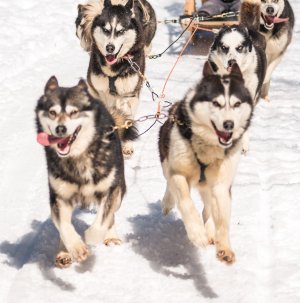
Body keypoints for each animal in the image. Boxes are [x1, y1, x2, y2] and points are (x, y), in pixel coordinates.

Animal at [35, 76, 137, 268]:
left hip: (119, 189)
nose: (60, 128)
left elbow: (102, 220)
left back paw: (111, 237)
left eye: (74, 112)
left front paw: (90, 237)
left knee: (111, 215)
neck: (78, 157)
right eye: (52, 112)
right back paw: (64, 252)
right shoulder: (60, 196)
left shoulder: (110, 190)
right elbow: (64, 227)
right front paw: (74, 248)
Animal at [158, 63, 254, 264]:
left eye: (237, 104)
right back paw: (168, 203)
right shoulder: (178, 173)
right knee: (170, 185)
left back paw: (210, 231)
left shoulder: (221, 185)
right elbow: (185, 201)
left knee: (208, 207)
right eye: (216, 103)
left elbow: (223, 220)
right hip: (167, 163)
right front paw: (196, 233)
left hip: (209, 185)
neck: (207, 147)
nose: (229, 124)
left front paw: (224, 246)